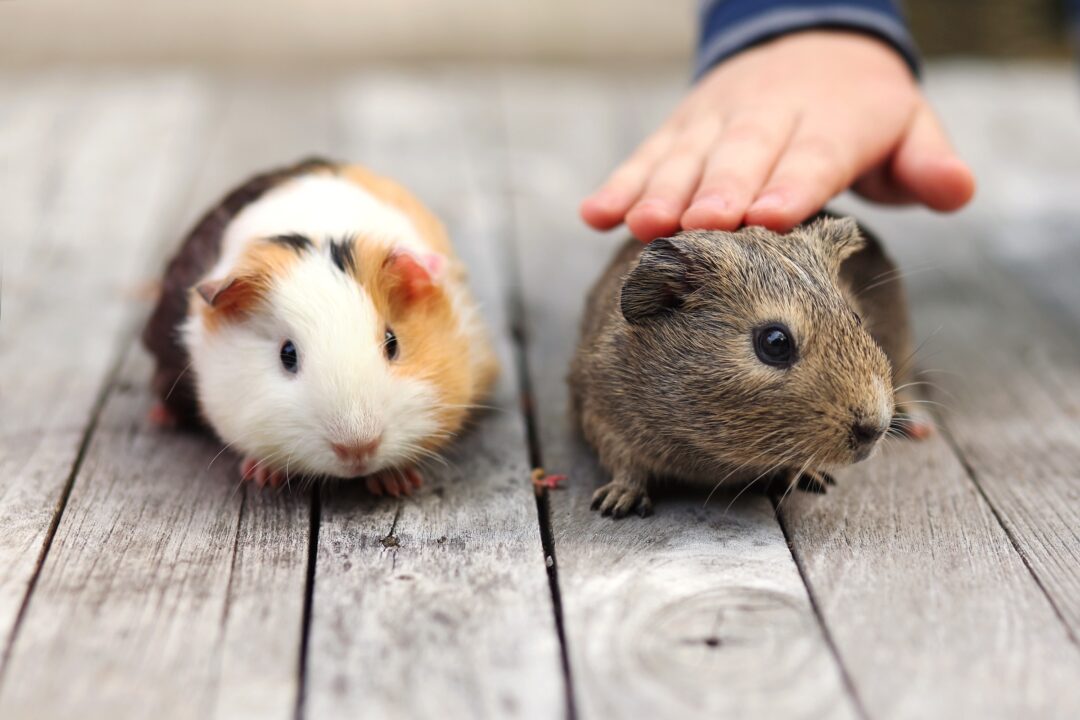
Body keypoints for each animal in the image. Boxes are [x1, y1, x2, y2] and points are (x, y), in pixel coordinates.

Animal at [142, 158, 498, 495]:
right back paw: (160, 418)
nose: (357, 449)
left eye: (392, 342)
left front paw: (396, 484)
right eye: (287, 354)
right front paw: (263, 475)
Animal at [570, 215, 931, 519]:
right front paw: (616, 504)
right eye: (775, 342)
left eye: (855, 318)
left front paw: (810, 477)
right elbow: (624, 464)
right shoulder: (601, 415)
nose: (875, 429)